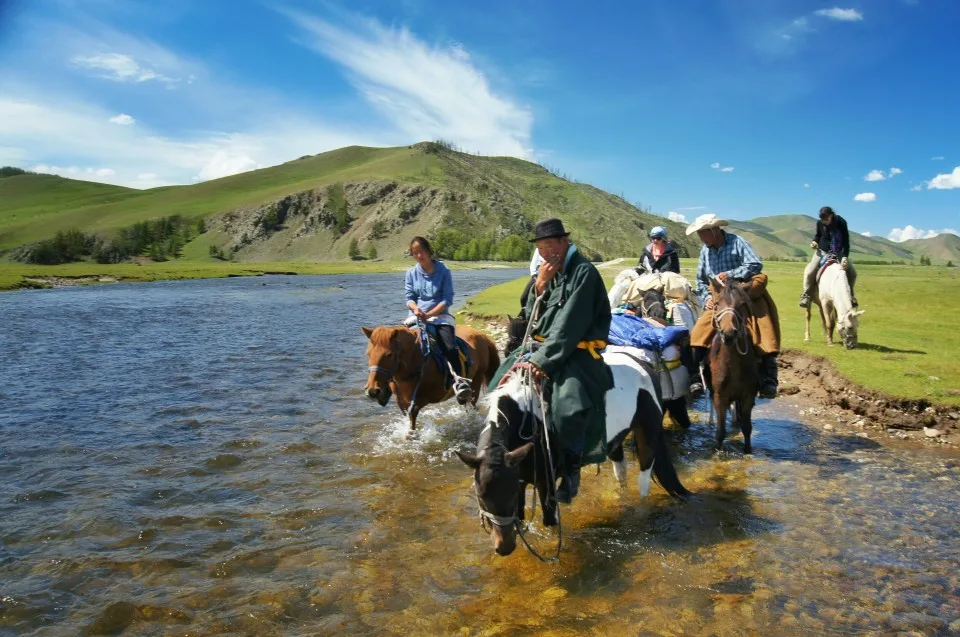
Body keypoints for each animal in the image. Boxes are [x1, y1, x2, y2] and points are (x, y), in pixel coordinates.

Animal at [362, 322, 502, 432]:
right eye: (368, 354)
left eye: (389, 355)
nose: (373, 390)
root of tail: (481, 335)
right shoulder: (402, 400)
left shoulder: (425, 398)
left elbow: (413, 414)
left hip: (477, 380)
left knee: (472, 405)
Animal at [704, 278, 756, 452]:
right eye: (717, 303)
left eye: (741, 304)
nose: (728, 334)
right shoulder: (720, 396)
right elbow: (720, 432)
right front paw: (718, 451)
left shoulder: (748, 395)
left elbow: (747, 428)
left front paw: (747, 451)